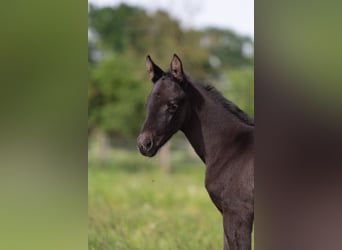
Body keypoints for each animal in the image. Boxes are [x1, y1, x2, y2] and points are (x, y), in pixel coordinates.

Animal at [137, 53, 254, 249]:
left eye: (173, 105)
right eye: (147, 103)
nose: (144, 144)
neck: (232, 149)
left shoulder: (238, 214)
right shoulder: (227, 214)